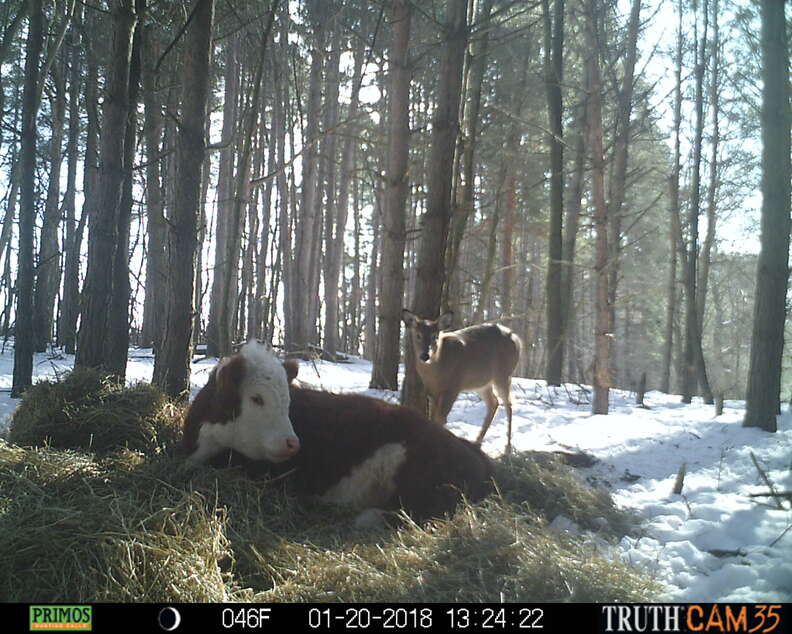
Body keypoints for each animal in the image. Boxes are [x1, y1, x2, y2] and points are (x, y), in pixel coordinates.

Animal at [402, 310, 520, 450]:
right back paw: (477, 441)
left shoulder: (454, 387)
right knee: (494, 402)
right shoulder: (432, 392)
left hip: (503, 374)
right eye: (418, 335)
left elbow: (441, 418)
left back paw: (508, 447)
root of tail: (517, 339)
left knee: (508, 404)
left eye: (434, 336)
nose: (425, 355)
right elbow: (432, 417)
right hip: (482, 383)